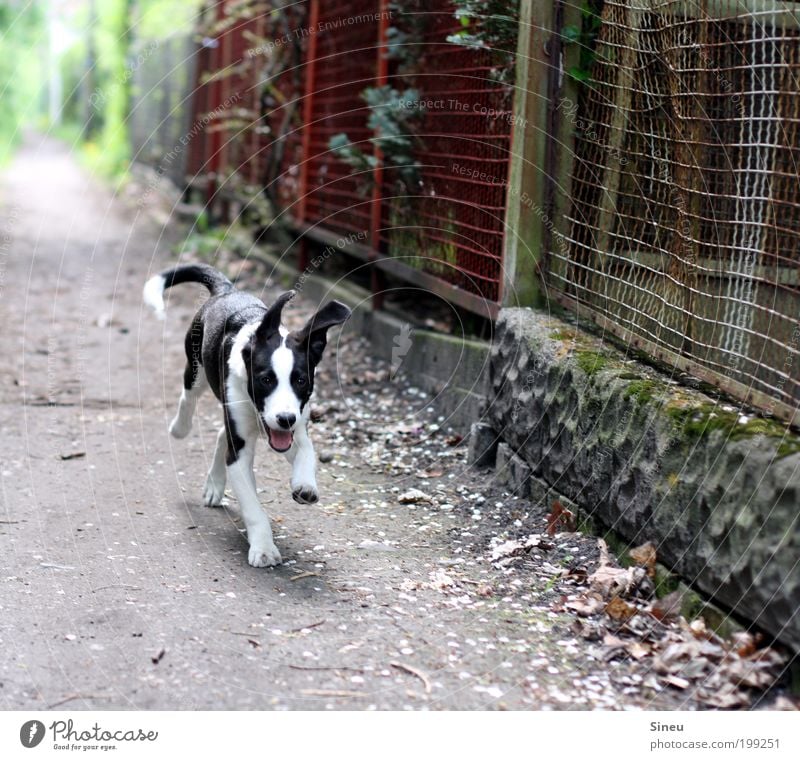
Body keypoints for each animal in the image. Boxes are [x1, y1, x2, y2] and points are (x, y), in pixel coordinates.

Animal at [141, 264, 354, 568]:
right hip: (196, 366)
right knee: (189, 396)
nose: (285, 419)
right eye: (266, 379)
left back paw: (214, 484)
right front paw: (263, 548)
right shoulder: (240, 452)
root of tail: (227, 290)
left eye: (301, 381)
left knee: (222, 433)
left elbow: (306, 450)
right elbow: (253, 507)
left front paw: (305, 484)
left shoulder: (294, 427)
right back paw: (180, 428)